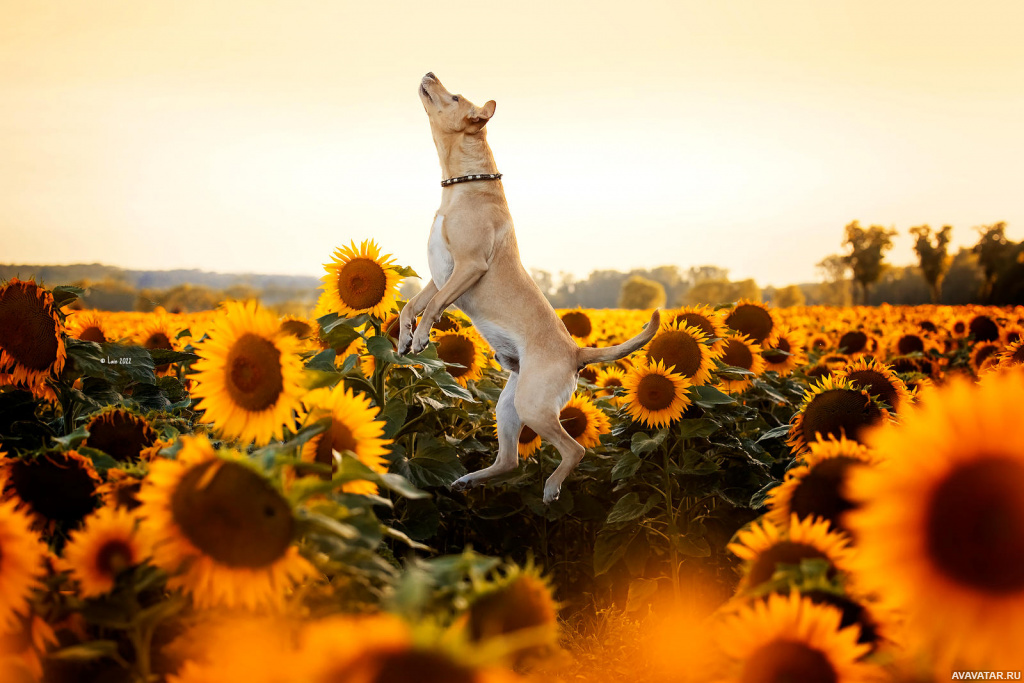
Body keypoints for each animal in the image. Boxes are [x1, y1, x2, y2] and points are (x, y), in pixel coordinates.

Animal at [395, 74, 659, 501]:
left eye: (455, 96)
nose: (430, 74)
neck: (462, 185)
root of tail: (577, 352)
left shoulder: (468, 267)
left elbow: (433, 307)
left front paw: (420, 338)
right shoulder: (439, 274)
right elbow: (412, 305)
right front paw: (404, 337)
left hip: (533, 406)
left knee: (575, 448)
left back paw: (551, 487)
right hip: (509, 406)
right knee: (510, 461)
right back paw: (469, 479)